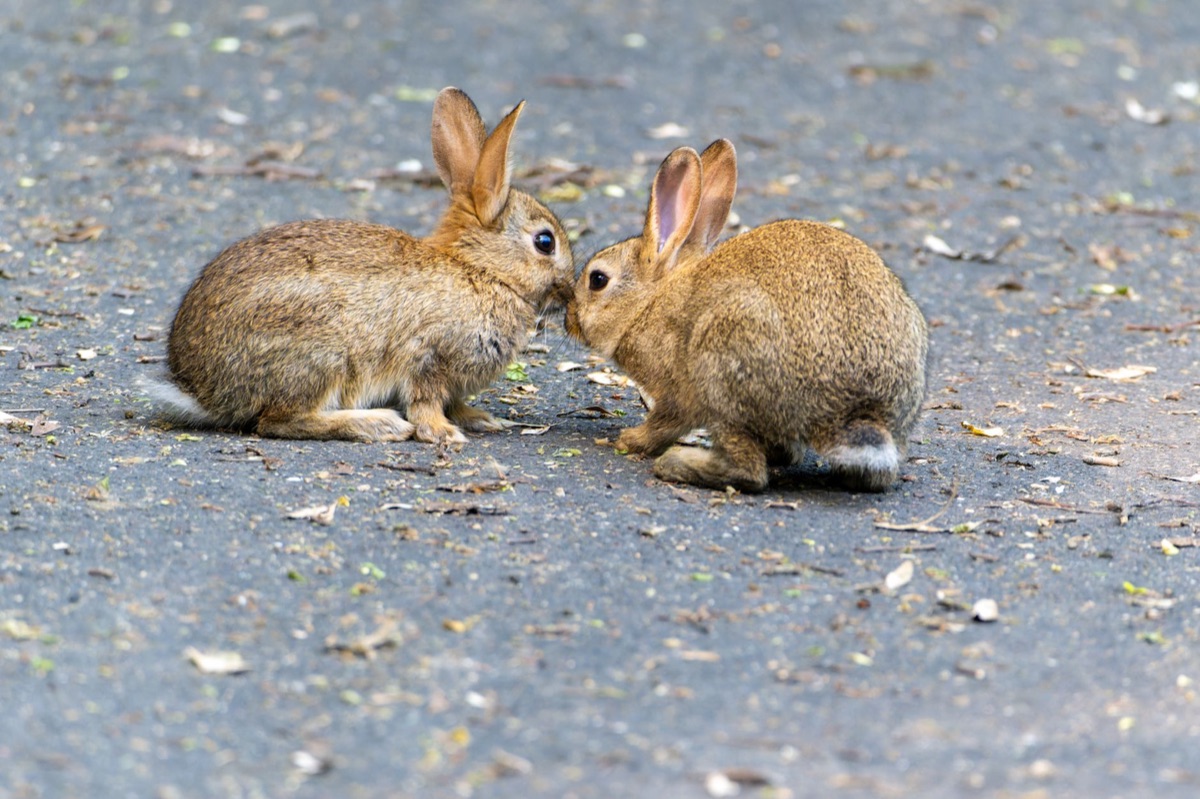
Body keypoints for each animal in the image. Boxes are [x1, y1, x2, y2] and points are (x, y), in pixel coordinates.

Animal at [145, 87, 575, 446]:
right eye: (545, 242)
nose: (570, 292)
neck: (482, 270)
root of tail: (199, 389)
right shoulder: (428, 358)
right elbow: (426, 402)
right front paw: (443, 434)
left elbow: (454, 403)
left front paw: (480, 419)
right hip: (321, 355)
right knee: (279, 420)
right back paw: (378, 424)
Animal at [565, 139, 928, 493]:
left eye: (598, 279)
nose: (569, 318)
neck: (649, 302)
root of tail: (858, 411)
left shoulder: (676, 393)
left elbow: (665, 422)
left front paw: (629, 440)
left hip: (723, 370)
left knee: (749, 471)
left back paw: (677, 464)